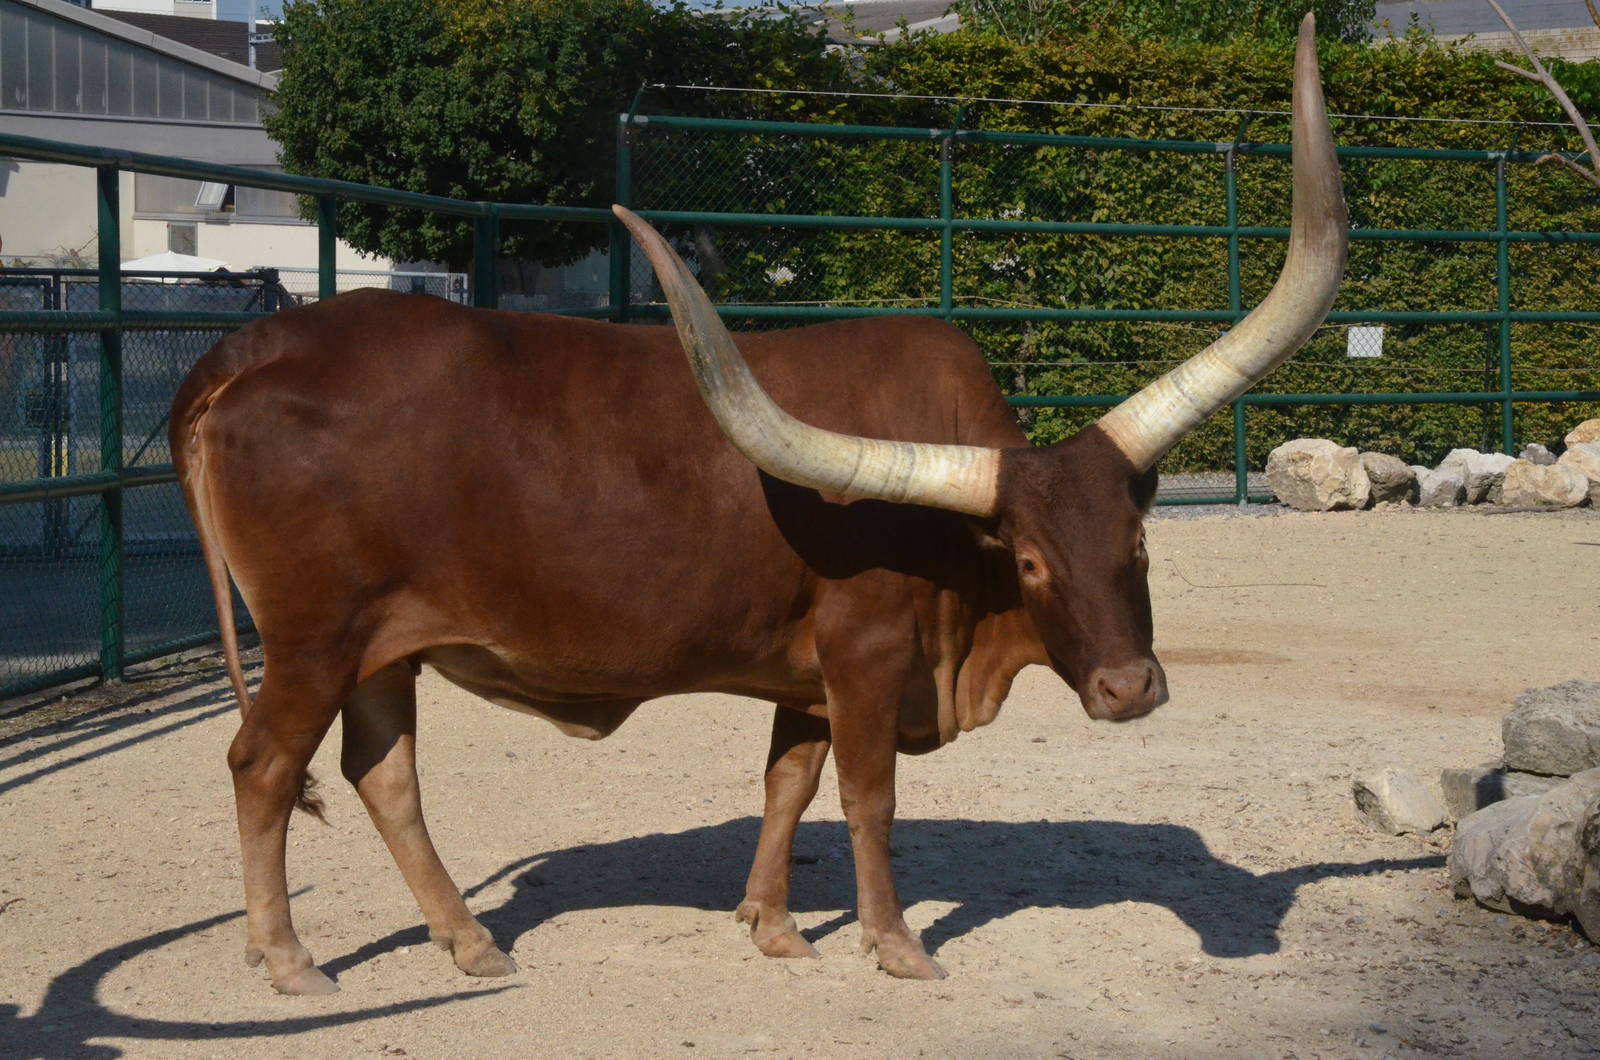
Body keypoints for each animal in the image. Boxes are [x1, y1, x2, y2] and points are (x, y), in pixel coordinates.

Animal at [171, 18, 1345, 995]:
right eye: (1029, 561)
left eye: (1137, 542)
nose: (1129, 688)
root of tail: (254, 348)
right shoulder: (867, 652)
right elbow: (867, 799)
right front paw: (894, 943)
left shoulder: (808, 673)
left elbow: (788, 781)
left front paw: (773, 925)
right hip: (314, 638)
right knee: (263, 767)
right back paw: (290, 960)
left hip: (384, 647)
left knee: (384, 777)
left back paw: (468, 941)